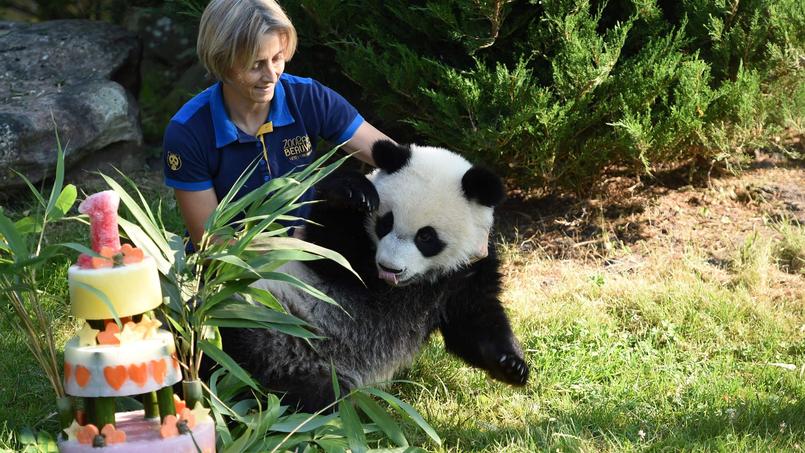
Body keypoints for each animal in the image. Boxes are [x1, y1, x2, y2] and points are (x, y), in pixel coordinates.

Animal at [223, 139, 532, 410]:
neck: (405, 286)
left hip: (312, 375)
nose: (389, 268)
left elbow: (474, 320)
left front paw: (512, 366)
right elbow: (326, 247)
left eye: (426, 237)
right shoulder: (348, 256)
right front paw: (352, 192)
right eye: (385, 222)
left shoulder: (466, 270)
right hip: (257, 314)